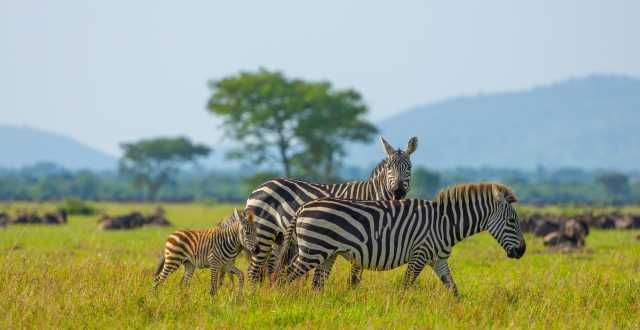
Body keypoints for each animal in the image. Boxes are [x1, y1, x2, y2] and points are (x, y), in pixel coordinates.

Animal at [242, 135, 418, 284]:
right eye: (389, 167)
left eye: (409, 167)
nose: (398, 192)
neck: (372, 195)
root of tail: (259, 187)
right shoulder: (363, 240)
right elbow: (354, 277)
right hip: (264, 232)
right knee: (253, 271)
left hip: (279, 238)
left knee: (267, 270)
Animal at [272, 182, 528, 296]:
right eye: (512, 221)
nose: (523, 251)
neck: (446, 223)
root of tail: (303, 207)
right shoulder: (420, 254)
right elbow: (405, 286)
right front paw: (400, 309)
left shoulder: (439, 260)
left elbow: (454, 289)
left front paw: (461, 312)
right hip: (312, 251)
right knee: (281, 278)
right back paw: (277, 301)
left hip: (327, 254)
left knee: (316, 285)